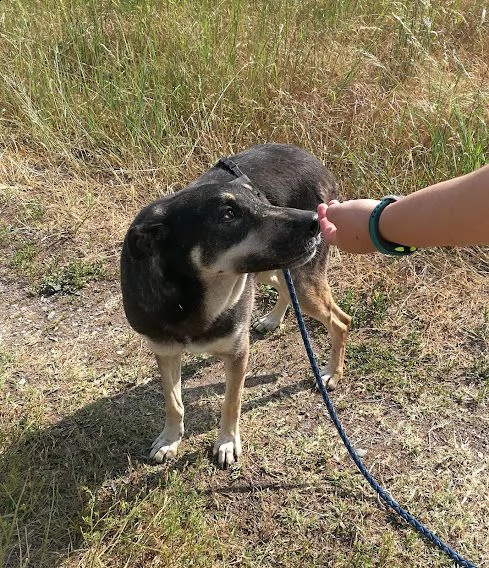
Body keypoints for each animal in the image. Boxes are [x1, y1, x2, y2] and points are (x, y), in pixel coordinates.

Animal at [121, 144, 350, 468]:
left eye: (259, 199)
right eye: (228, 214)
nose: (316, 221)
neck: (192, 301)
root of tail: (311, 157)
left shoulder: (237, 353)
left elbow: (232, 401)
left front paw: (227, 443)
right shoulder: (165, 351)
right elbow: (173, 402)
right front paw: (169, 440)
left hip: (303, 280)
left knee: (341, 321)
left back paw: (331, 372)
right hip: (271, 268)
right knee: (284, 287)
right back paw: (272, 320)